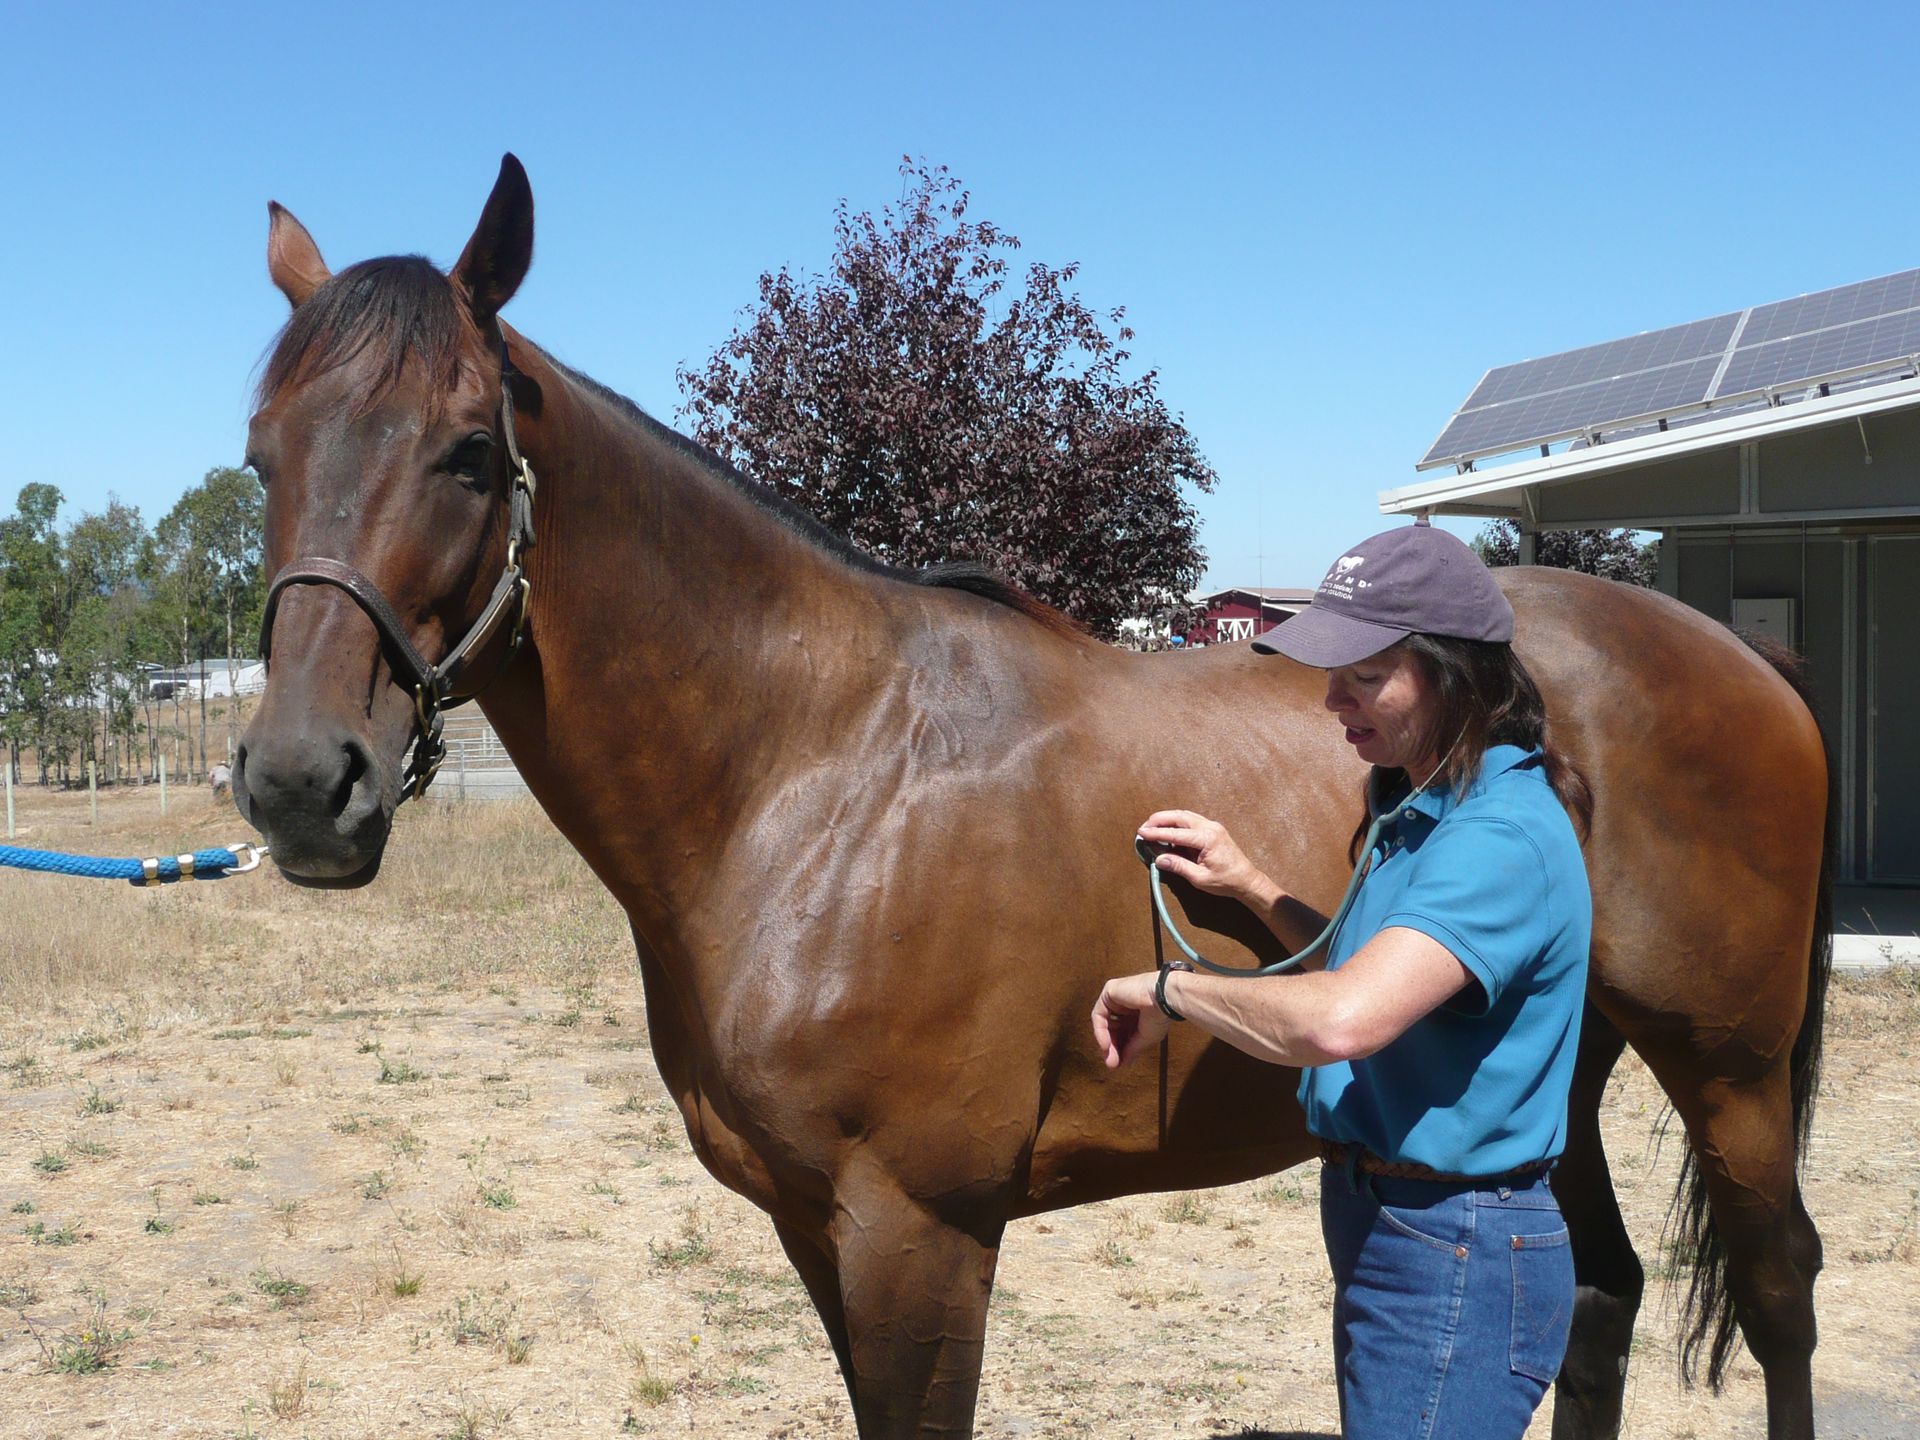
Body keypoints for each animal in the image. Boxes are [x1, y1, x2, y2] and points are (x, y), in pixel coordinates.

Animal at [233, 156, 1832, 1440]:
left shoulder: (919, 1234)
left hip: (1730, 1069)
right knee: (1599, 1295)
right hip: (1575, 1069)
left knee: (1776, 1290)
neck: (814, 776)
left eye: (466, 452)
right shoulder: (819, 1231)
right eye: (261, 457)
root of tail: (1739, 656)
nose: (301, 784)